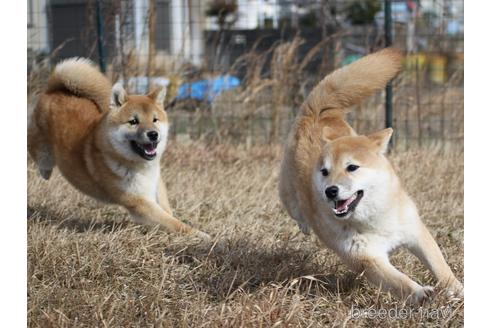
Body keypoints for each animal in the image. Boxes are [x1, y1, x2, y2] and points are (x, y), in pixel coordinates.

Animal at [278, 47, 464, 304]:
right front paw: (420, 293)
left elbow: (440, 266)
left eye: (352, 167)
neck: (374, 219)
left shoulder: (416, 234)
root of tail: (315, 114)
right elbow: (400, 281)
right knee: (295, 209)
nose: (330, 191)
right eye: (325, 172)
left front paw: (456, 290)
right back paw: (305, 223)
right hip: (290, 195)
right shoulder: (367, 259)